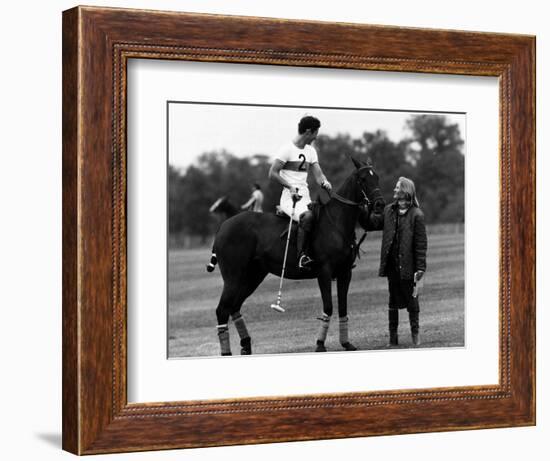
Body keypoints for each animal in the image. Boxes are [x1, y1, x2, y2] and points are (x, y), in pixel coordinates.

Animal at [206, 156, 384, 354]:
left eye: (376, 177)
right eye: (363, 179)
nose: (380, 204)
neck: (337, 223)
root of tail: (222, 227)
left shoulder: (346, 272)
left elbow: (343, 307)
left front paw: (346, 344)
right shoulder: (324, 272)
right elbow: (328, 307)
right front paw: (320, 345)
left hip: (253, 275)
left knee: (234, 306)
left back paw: (246, 346)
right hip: (233, 276)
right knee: (222, 309)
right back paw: (227, 352)